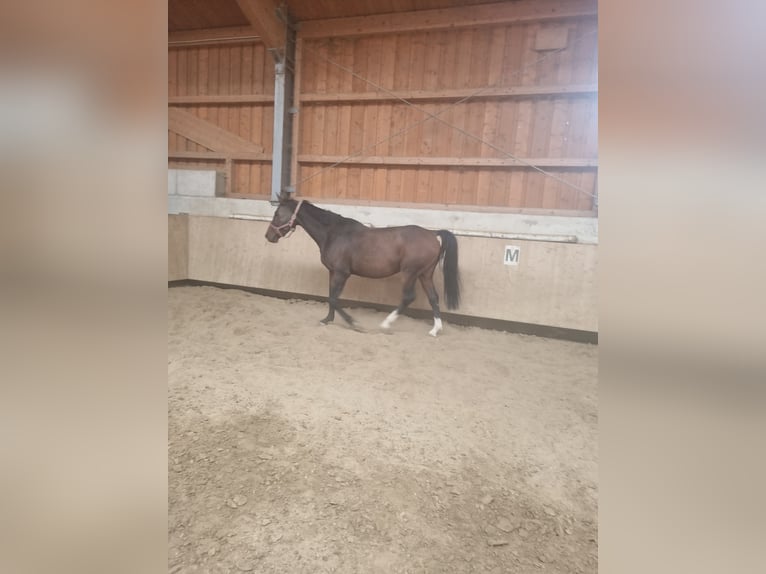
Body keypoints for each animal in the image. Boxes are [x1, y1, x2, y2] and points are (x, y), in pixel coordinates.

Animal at [265, 195, 461, 336]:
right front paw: (327, 320)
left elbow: (334, 299)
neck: (333, 233)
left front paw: (355, 324)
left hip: (409, 273)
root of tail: (433, 234)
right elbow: (331, 296)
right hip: (424, 274)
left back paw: (385, 325)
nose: (268, 236)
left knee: (408, 297)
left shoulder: (342, 273)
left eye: (277, 214)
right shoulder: (332, 272)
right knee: (433, 297)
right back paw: (435, 330)